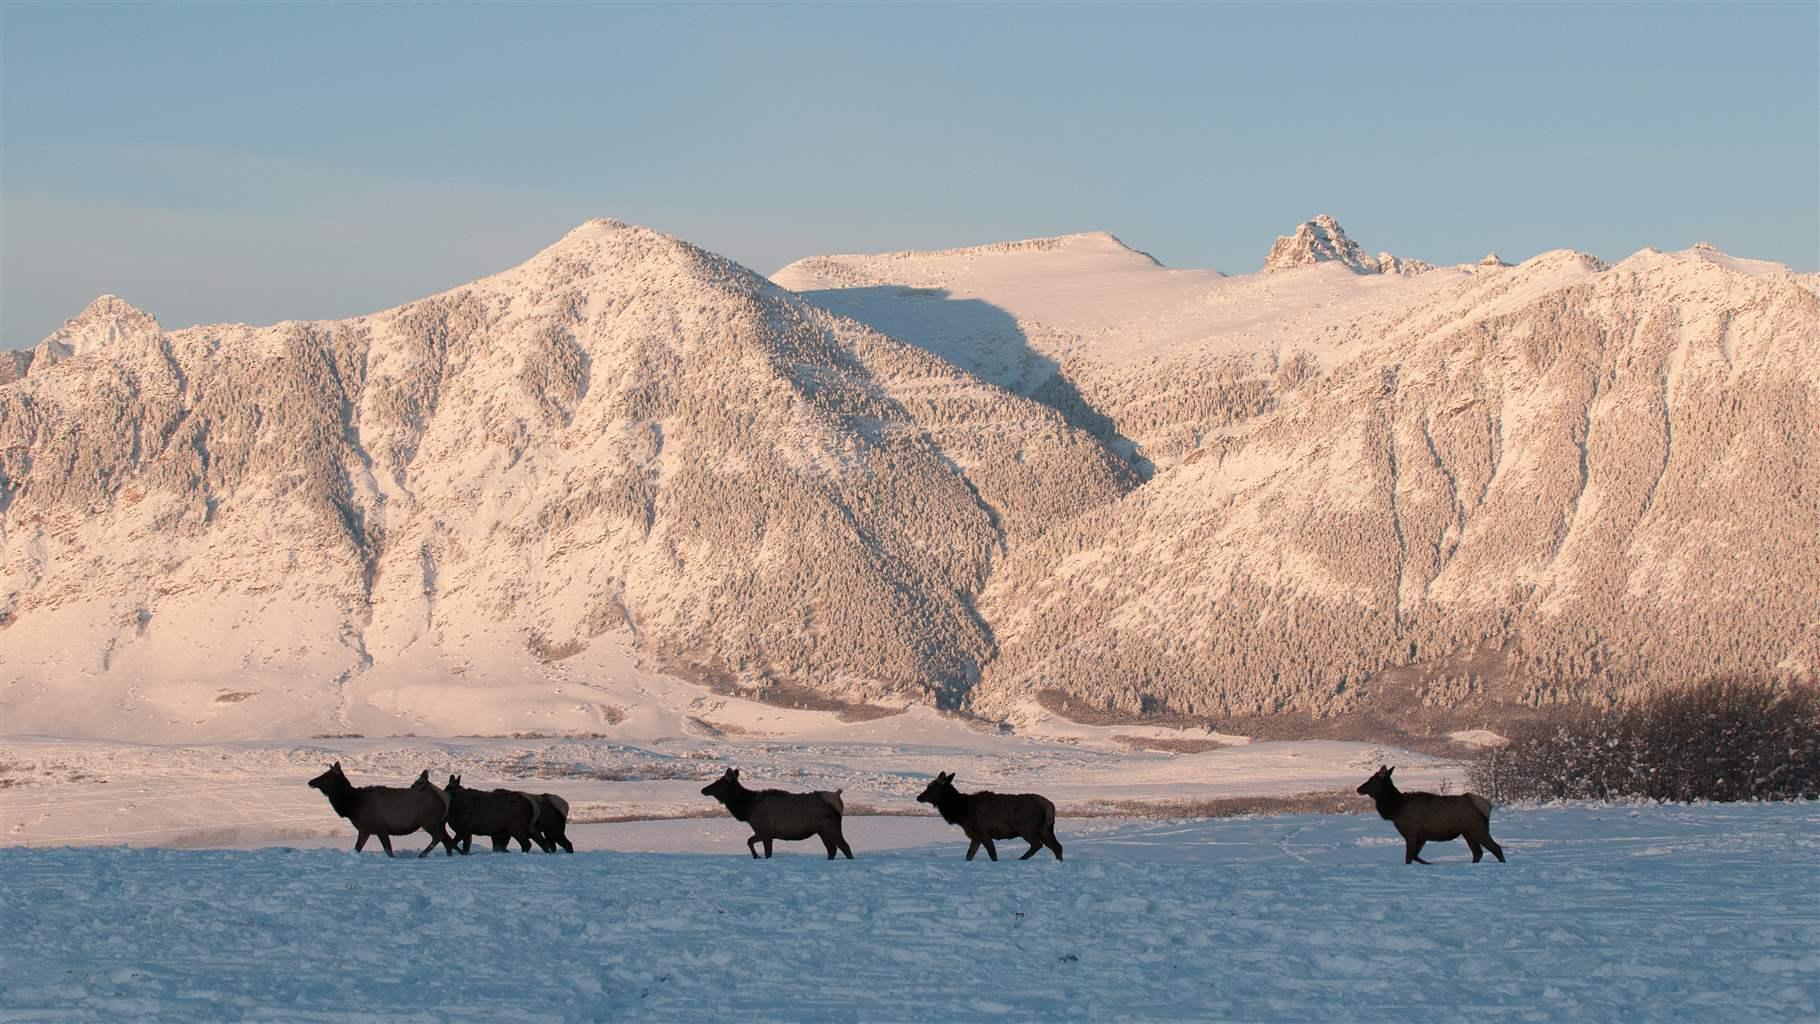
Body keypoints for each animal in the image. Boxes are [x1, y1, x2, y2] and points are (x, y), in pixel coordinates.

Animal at [917, 774, 1062, 862]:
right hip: (1045, 829)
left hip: (1027, 828)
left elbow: (993, 854)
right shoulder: (975, 836)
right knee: (1057, 846)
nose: (918, 797)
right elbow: (969, 855)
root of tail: (1050, 806)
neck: (961, 813)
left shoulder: (984, 832)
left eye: (930, 787)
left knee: (1038, 845)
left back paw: (1020, 859)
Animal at [1361, 763, 1499, 869]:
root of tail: (1487, 806)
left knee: (1495, 848)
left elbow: (1408, 858)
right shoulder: (1422, 836)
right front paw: (1429, 863)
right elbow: (1415, 856)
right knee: (1478, 853)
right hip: (1467, 832)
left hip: (1477, 828)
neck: (1395, 810)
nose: (1359, 788)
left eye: (1372, 779)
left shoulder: (1411, 833)